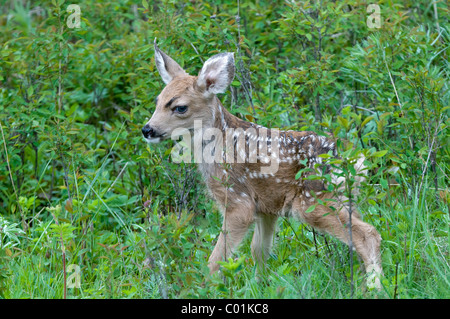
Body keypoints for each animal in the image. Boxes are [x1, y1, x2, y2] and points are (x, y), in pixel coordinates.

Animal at [142, 43, 382, 292]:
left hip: (314, 200)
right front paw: (260, 286)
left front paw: (206, 289)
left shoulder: (238, 200)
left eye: (180, 107)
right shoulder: (267, 207)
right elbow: (259, 251)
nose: (148, 129)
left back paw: (375, 289)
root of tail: (353, 160)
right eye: (158, 101)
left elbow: (217, 259)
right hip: (341, 198)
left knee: (369, 234)